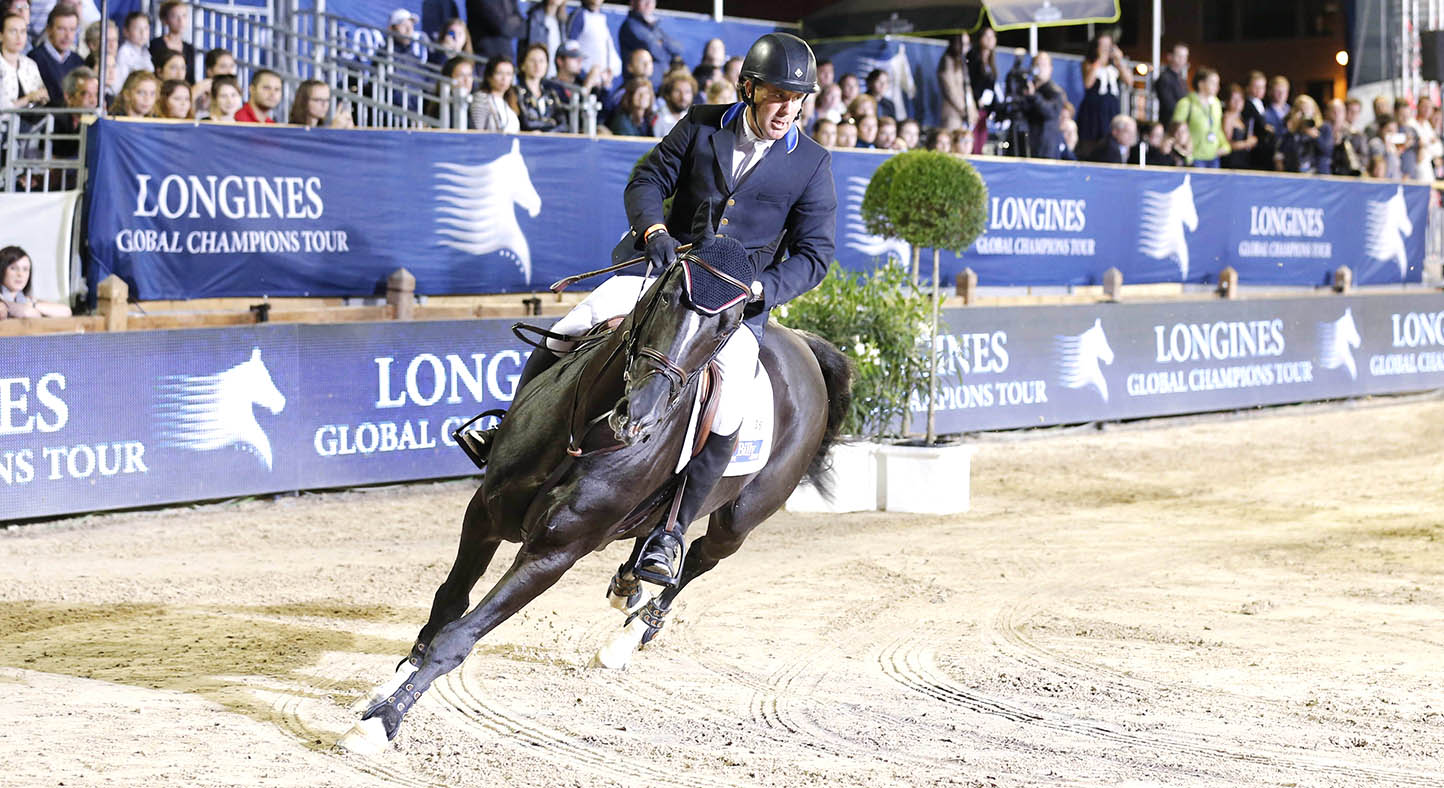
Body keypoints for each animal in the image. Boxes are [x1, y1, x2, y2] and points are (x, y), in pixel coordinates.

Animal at [339, 254, 849, 750]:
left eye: (726, 326)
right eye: (667, 296)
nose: (639, 416)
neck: (589, 432)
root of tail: (802, 343)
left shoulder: (553, 554)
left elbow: (460, 636)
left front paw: (383, 720)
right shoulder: (484, 513)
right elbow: (449, 602)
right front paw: (392, 684)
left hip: (742, 517)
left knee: (701, 556)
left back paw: (631, 632)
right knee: (658, 535)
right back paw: (634, 577)